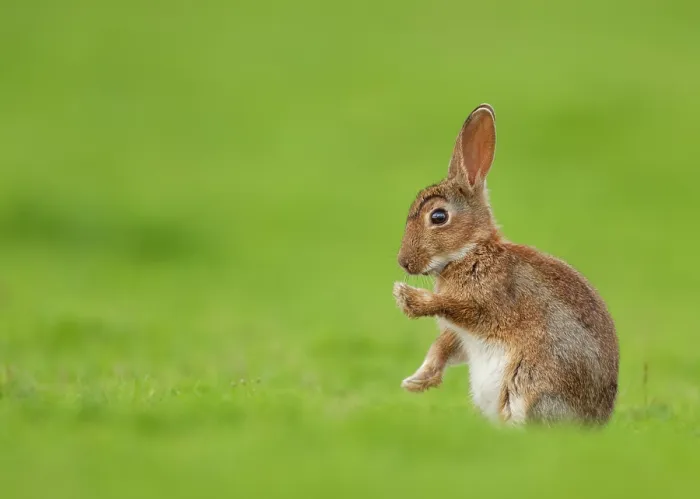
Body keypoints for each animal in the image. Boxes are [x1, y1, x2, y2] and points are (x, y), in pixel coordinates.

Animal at [393, 104, 619, 425]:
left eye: (438, 217)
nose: (404, 262)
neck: (471, 252)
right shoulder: (459, 335)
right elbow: (444, 346)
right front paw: (416, 381)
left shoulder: (485, 304)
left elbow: (454, 308)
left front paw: (408, 298)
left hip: (528, 383)